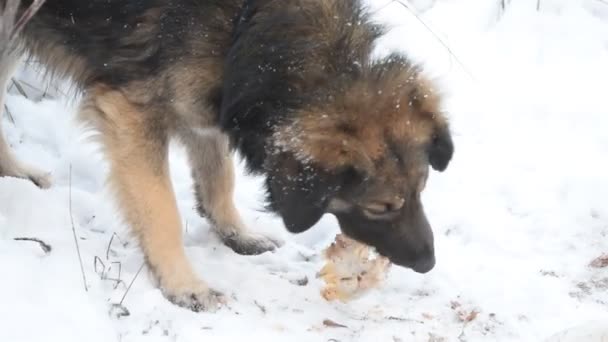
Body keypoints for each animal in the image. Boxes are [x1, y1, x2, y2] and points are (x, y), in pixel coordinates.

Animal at [0, 0, 452, 312]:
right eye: (381, 207)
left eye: (422, 189)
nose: (429, 263)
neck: (250, 28)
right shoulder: (132, 110)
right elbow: (161, 212)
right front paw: (183, 284)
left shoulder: (206, 98)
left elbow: (219, 177)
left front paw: (236, 233)